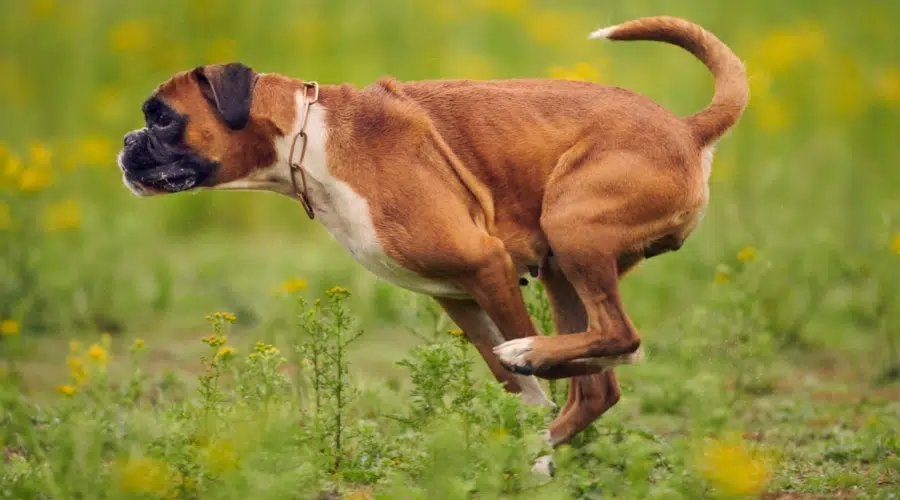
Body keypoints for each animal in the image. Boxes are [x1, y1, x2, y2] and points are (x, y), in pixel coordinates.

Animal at [121, 14, 752, 472]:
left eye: (162, 118)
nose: (127, 141)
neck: (309, 136)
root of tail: (687, 129)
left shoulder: (488, 266)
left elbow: (523, 379)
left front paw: (526, 414)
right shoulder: (458, 296)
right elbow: (518, 390)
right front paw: (525, 443)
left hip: (574, 227)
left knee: (618, 339)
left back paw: (537, 369)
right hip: (561, 267)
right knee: (600, 382)